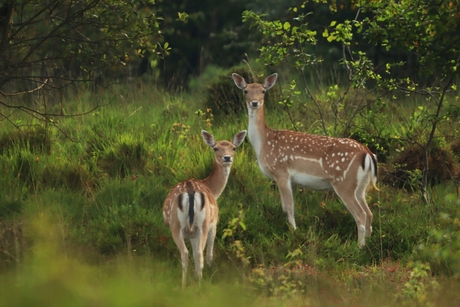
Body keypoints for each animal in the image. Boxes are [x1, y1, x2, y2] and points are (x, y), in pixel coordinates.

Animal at [163, 129, 246, 288]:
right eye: (216, 148)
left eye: (233, 148)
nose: (227, 157)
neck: (212, 189)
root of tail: (190, 191)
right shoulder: (214, 223)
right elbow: (209, 251)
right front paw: (209, 267)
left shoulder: (192, 233)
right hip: (202, 224)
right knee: (196, 254)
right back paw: (197, 285)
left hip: (179, 226)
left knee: (188, 254)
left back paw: (186, 285)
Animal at [232, 73, 376, 249]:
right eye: (245, 91)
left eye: (263, 91)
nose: (254, 102)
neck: (263, 143)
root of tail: (367, 153)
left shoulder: (281, 172)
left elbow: (288, 207)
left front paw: (294, 233)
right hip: (362, 186)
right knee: (369, 213)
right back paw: (368, 243)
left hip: (344, 183)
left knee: (361, 215)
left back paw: (359, 247)